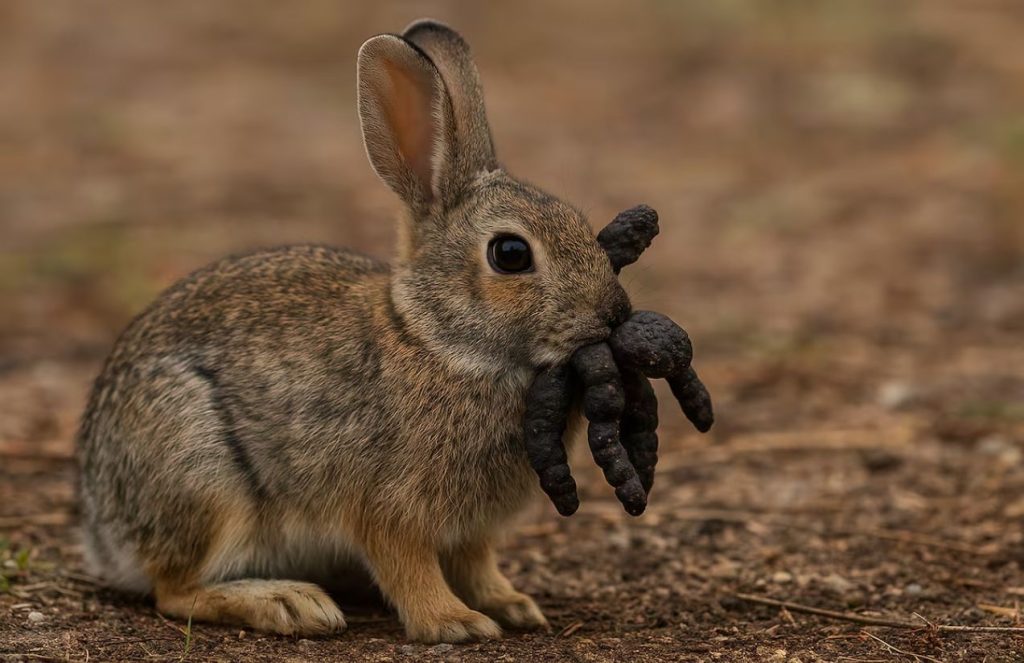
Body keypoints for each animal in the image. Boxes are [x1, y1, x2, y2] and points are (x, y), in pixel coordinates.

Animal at [76, 19, 632, 643]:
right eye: (510, 254)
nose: (614, 314)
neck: (438, 341)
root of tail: (102, 528)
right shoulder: (387, 508)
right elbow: (409, 568)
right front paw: (454, 622)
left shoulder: (471, 530)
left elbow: (478, 564)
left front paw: (512, 605)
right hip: (202, 474)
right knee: (174, 590)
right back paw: (288, 603)